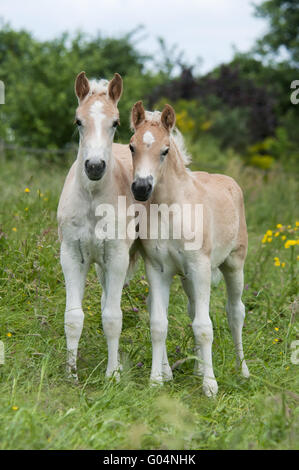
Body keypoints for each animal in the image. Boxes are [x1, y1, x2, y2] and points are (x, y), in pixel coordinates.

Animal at [56, 74, 136, 382]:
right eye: (78, 121)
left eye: (115, 123)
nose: (94, 167)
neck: (91, 201)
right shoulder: (71, 255)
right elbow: (73, 317)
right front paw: (71, 374)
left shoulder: (117, 258)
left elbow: (113, 318)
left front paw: (112, 376)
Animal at [131, 102, 251, 396]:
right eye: (131, 147)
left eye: (164, 150)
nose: (141, 188)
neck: (170, 209)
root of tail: (230, 182)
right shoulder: (158, 269)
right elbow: (159, 324)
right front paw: (156, 380)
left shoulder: (200, 266)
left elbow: (204, 326)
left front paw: (210, 386)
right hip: (188, 277)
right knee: (194, 309)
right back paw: (197, 369)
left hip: (233, 265)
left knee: (235, 312)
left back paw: (242, 371)